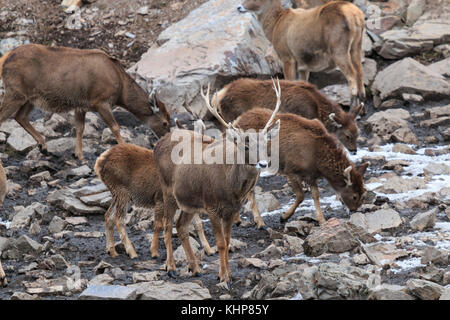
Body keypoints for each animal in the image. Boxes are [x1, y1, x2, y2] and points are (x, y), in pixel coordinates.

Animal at [0, 44, 171, 160]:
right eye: (165, 123)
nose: (165, 140)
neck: (120, 91)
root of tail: (4, 58)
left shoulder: (81, 105)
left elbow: (80, 128)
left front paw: (79, 155)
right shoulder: (101, 101)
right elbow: (115, 127)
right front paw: (124, 148)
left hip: (29, 98)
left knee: (20, 116)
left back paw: (44, 146)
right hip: (15, 92)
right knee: (5, 116)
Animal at [155, 80, 282, 284]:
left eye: (265, 143)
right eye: (246, 145)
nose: (263, 163)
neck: (231, 189)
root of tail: (158, 144)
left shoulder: (232, 209)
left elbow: (228, 241)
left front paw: (228, 274)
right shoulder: (211, 206)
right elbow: (221, 243)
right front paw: (223, 277)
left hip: (189, 201)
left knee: (181, 226)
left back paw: (195, 268)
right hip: (167, 191)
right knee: (167, 226)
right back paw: (172, 268)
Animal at [214, 77, 362, 153]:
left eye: (357, 133)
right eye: (347, 135)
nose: (354, 150)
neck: (317, 108)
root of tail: (219, 95)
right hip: (230, 120)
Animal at [232, 109, 370, 224]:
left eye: (363, 193)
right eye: (354, 196)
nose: (353, 211)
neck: (317, 160)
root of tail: (236, 121)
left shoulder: (311, 175)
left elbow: (316, 195)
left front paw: (322, 220)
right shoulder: (291, 169)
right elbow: (301, 196)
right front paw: (284, 216)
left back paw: (239, 219)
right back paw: (258, 222)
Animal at [236, 0, 366, 110]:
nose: (239, 7)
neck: (275, 25)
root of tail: (356, 16)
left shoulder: (287, 57)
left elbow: (289, 81)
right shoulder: (304, 66)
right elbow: (304, 83)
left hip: (339, 49)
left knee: (352, 75)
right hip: (356, 46)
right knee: (359, 73)